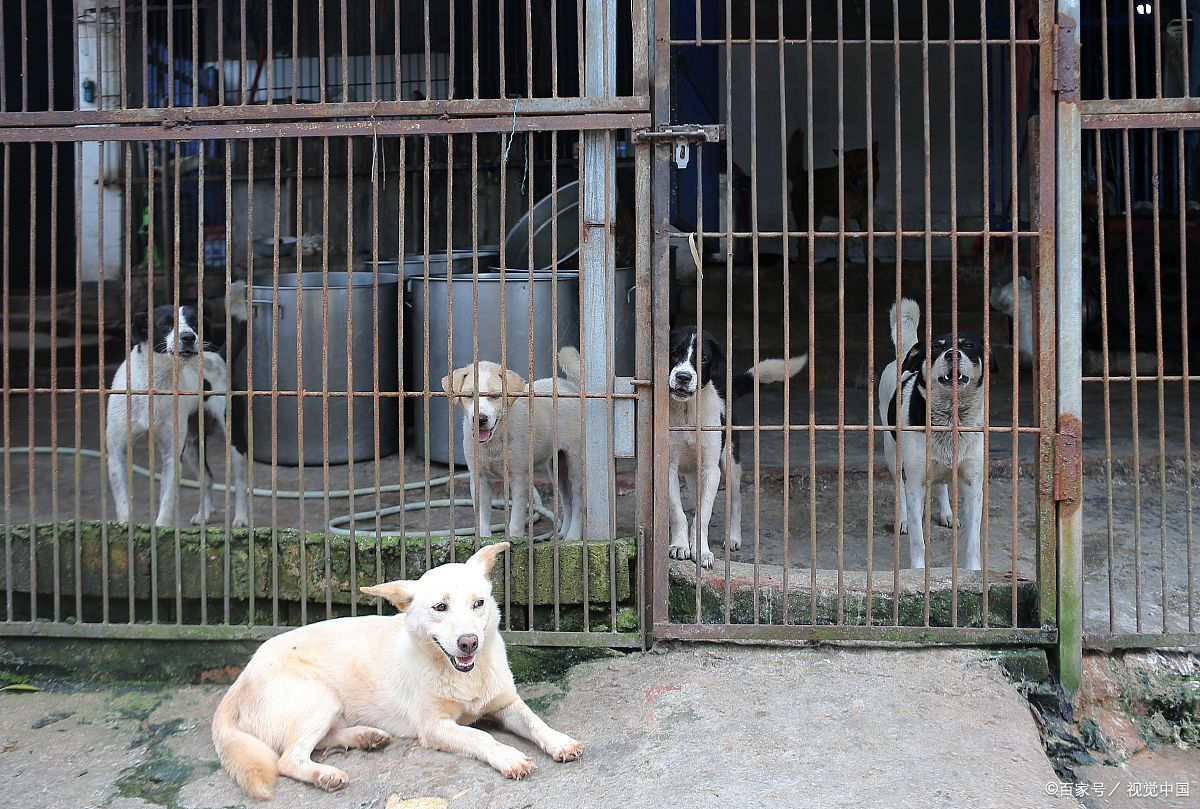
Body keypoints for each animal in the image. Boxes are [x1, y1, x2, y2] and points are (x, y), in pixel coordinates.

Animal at [106, 286, 249, 525]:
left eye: (195, 323)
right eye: (166, 323)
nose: (189, 337)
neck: (156, 383)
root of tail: (218, 356)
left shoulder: (172, 457)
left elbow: (166, 507)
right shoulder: (117, 453)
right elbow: (124, 506)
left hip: (233, 437)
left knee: (240, 482)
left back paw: (240, 518)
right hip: (191, 446)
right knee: (207, 477)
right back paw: (204, 514)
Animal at [212, 537, 585, 796]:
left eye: (479, 603)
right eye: (440, 607)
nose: (469, 643)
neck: (463, 675)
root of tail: (239, 682)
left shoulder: (506, 704)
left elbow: (535, 722)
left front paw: (559, 741)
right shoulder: (435, 727)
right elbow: (480, 736)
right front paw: (508, 757)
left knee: (319, 741)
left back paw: (365, 737)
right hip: (319, 697)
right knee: (288, 759)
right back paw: (326, 775)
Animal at [667, 324, 806, 564]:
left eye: (703, 358)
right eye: (675, 352)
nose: (683, 377)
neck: (686, 411)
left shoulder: (712, 470)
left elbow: (703, 516)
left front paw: (701, 551)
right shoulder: (668, 467)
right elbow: (678, 513)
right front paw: (680, 545)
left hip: (730, 462)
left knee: (736, 501)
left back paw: (732, 538)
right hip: (695, 474)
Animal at [878, 296, 988, 566]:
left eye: (968, 345)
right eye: (936, 348)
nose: (952, 354)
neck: (949, 418)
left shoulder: (973, 482)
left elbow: (973, 540)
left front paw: (973, 570)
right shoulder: (916, 481)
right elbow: (918, 540)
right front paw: (917, 570)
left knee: (941, 484)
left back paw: (948, 514)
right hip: (892, 453)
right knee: (901, 487)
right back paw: (903, 520)